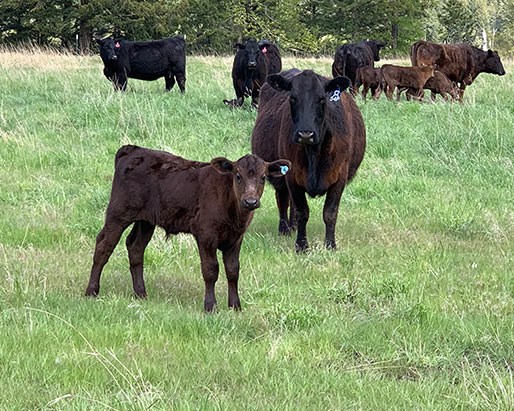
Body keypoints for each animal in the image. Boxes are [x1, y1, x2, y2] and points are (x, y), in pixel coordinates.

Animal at [85, 146, 290, 310]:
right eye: (238, 176)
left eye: (263, 177)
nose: (250, 201)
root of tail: (132, 149)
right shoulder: (206, 235)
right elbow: (210, 270)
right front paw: (210, 306)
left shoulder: (236, 238)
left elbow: (233, 271)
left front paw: (235, 306)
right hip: (119, 212)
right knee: (103, 245)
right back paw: (91, 291)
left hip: (146, 220)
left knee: (135, 247)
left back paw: (141, 293)